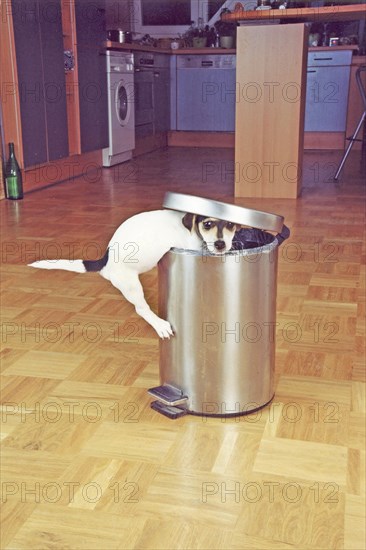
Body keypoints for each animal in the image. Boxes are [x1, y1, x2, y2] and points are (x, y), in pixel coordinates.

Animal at [29, 211, 240, 340]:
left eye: (230, 224)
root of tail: (106, 261)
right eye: (208, 224)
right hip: (131, 286)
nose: (220, 244)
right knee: (141, 309)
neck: (194, 231)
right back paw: (160, 325)